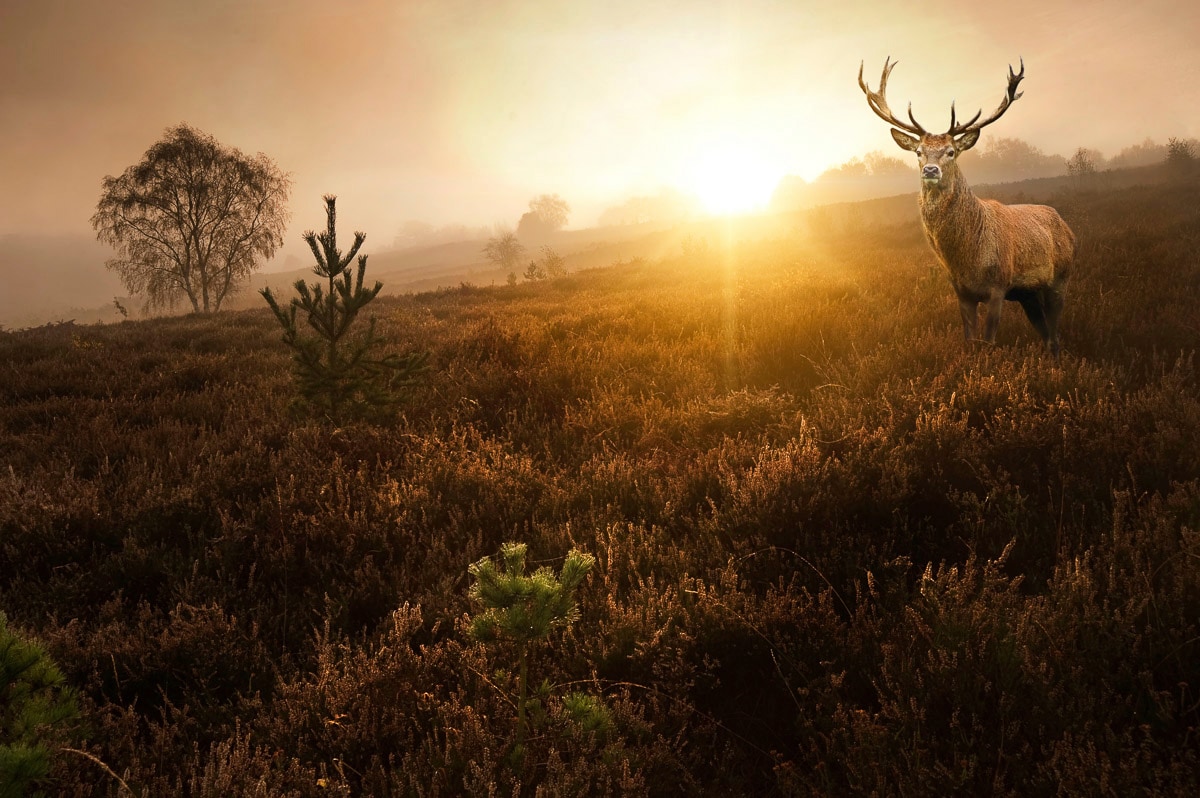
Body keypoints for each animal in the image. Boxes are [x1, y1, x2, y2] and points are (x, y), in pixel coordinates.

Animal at [858, 58, 1076, 357]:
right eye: (918, 152)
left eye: (951, 151)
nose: (930, 169)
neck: (967, 259)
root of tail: (1067, 227)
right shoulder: (961, 291)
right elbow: (970, 340)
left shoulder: (998, 284)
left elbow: (989, 340)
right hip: (1028, 294)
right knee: (1046, 334)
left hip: (1061, 278)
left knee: (1055, 334)